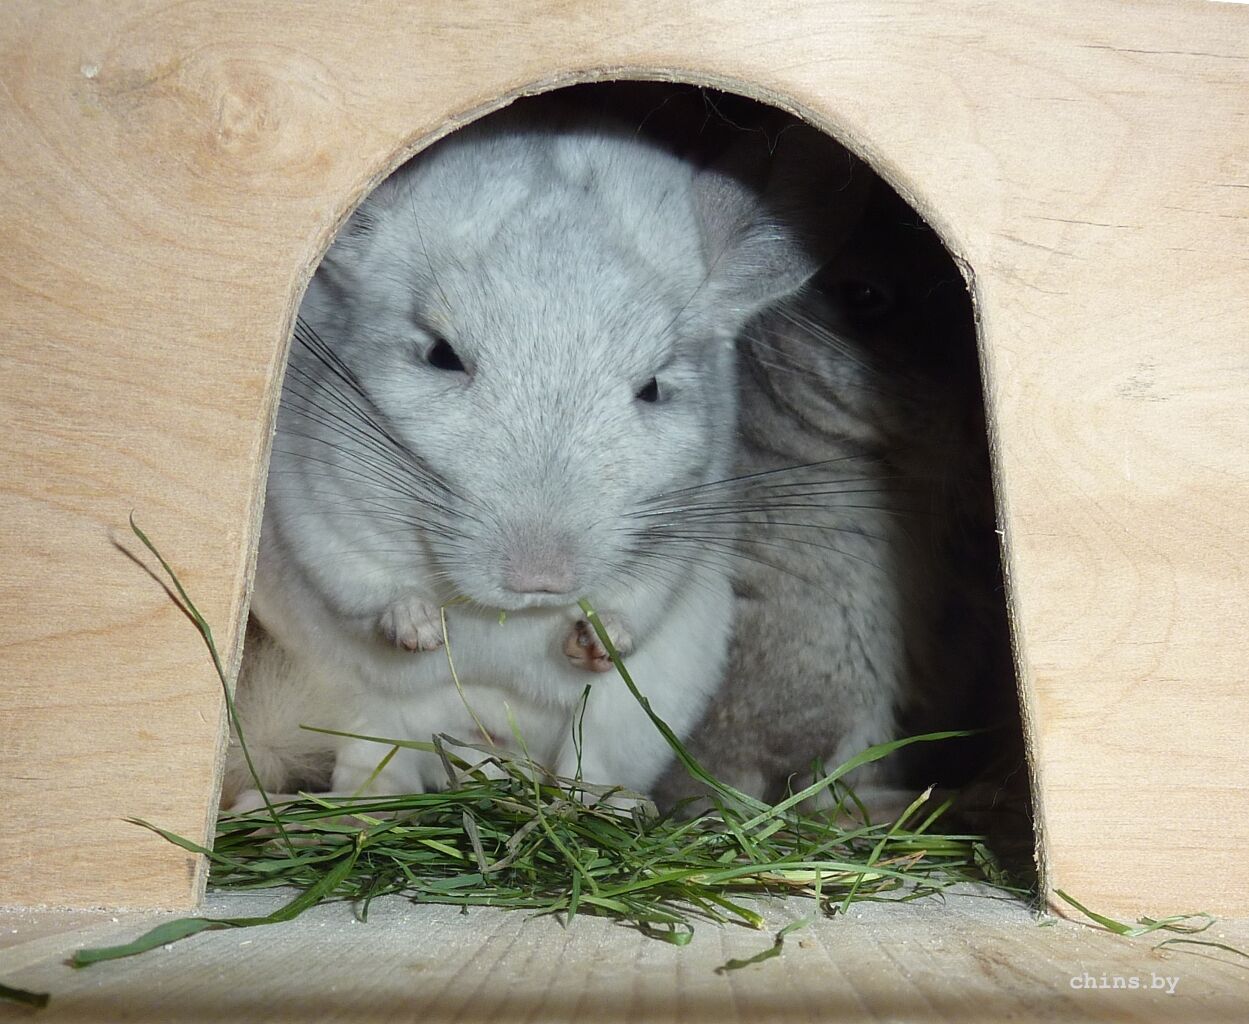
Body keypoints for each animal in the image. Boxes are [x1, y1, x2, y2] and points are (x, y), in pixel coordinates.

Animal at [229, 98, 848, 804]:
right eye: (441, 355)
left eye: (653, 388)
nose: (540, 582)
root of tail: (489, 728)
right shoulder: (313, 513)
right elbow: (364, 591)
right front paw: (421, 629)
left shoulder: (680, 537)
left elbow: (636, 609)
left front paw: (594, 640)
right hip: (361, 708)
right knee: (377, 770)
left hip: (630, 715)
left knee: (582, 768)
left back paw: (616, 806)